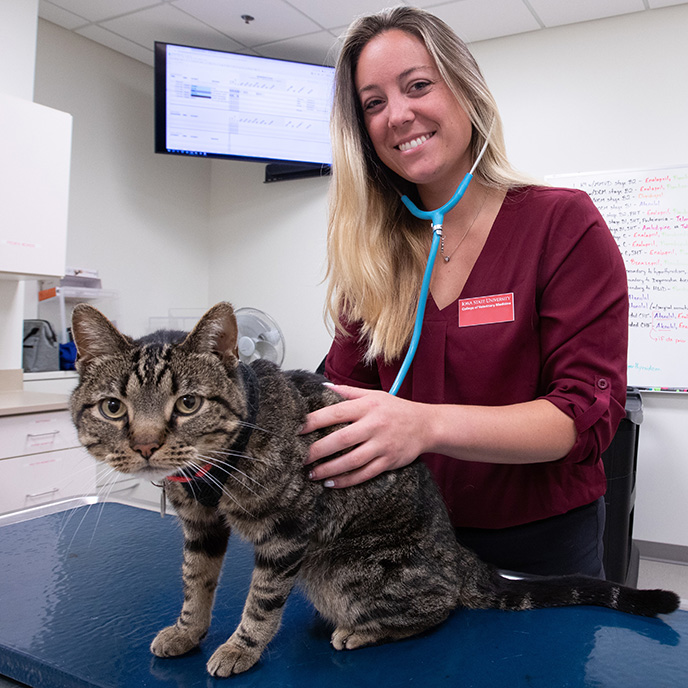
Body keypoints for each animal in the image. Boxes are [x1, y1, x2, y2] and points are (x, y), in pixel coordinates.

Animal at [68, 302, 676, 676]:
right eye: (114, 408)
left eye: (188, 404)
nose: (147, 445)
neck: (212, 475)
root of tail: (460, 557)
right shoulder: (199, 526)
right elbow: (196, 584)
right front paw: (186, 631)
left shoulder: (287, 533)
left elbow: (261, 601)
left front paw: (241, 647)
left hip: (340, 572)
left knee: (438, 609)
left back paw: (359, 632)